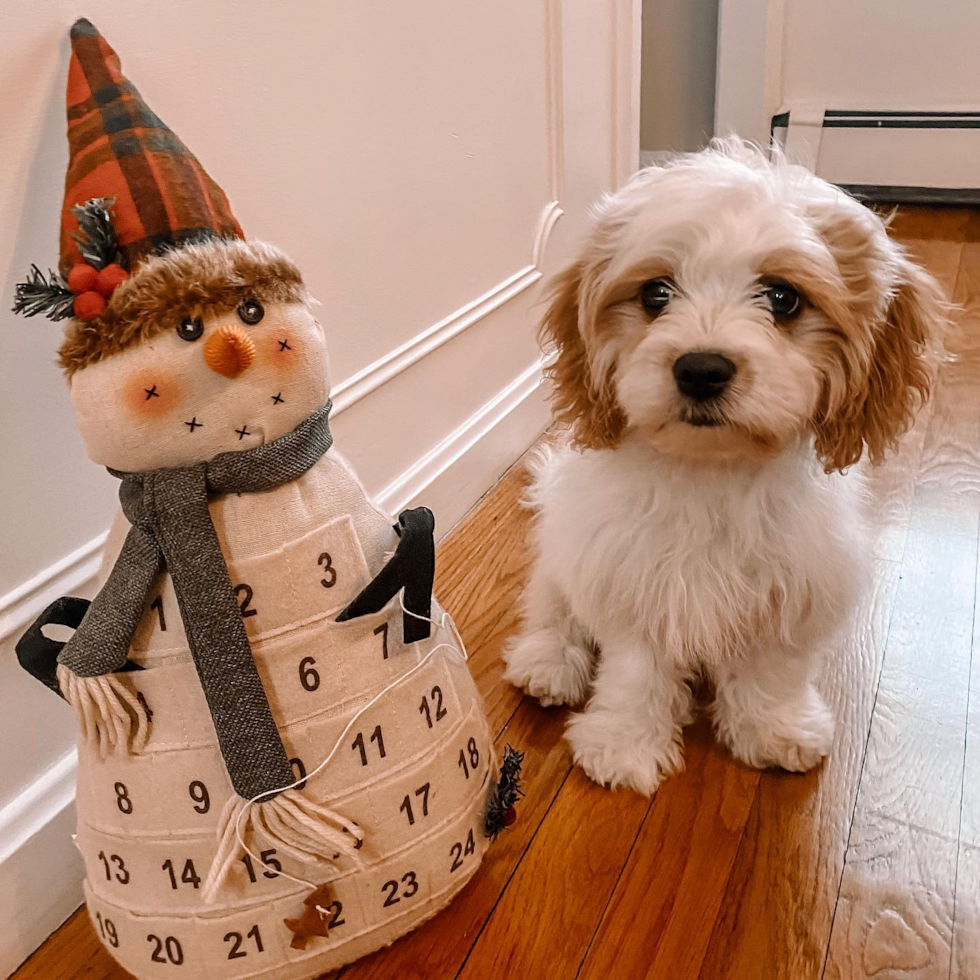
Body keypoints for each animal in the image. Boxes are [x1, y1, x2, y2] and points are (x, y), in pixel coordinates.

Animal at [502, 140, 944, 796]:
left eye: (783, 297)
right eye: (656, 294)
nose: (701, 368)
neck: (712, 472)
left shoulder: (795, 583)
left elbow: (772, 669)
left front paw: (776, 728)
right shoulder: (631, 576)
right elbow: (634, 669)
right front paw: (624, 742)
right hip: (565, 550)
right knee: (552, 607)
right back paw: (548, 662)